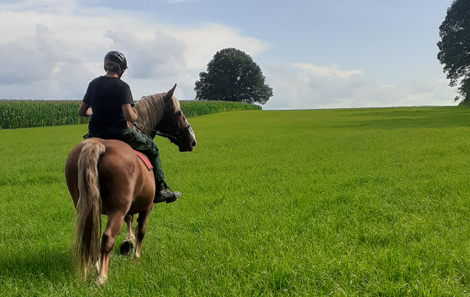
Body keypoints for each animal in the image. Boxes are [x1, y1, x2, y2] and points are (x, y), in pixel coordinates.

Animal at [64, 84, 196, 284]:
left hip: (85, 206)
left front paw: (128, 242)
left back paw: (91, 268)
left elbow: (130, 220)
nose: (192, 141)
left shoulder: (130, 204)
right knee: (107, 237)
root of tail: (97, 146)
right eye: (178, 113)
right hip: (116, 209)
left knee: (90, 235)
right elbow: (141, 229)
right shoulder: (147, 206)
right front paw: (136, 256)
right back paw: (102, 276)